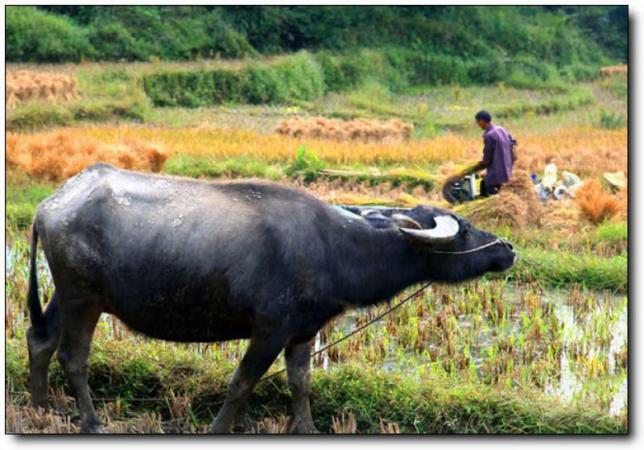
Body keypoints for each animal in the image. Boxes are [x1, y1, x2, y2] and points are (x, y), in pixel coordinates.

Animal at [26, 164, 512, 432]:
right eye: (465, 230)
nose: (507, 248)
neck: (334, 248)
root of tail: (50, 205)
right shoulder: (269, 331)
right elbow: (242, 383)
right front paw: (220, 428)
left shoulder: (303, 333)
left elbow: (301, 384)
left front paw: (307, 427)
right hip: (82, 300)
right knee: (73, 357)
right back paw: (91, 421)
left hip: (66, 296)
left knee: (41, 341)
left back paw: (42, 407)